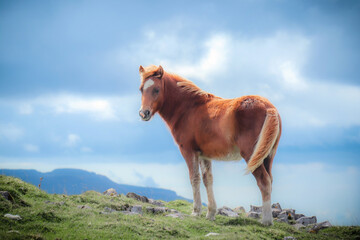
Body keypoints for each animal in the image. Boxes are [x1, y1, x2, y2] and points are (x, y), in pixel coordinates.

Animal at [138, 64, 282, 225]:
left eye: (156, 89)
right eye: (141, 89)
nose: (143, 113)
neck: (188, 109)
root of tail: (269, 107)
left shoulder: (188, 151)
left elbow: (194, 178)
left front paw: (196, 212)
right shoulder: (204, 155)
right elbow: (208, 179)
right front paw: (211, 213)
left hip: (251, 155)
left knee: (263, 181)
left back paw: (266, 221)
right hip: (267, 156)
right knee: (269, 180)